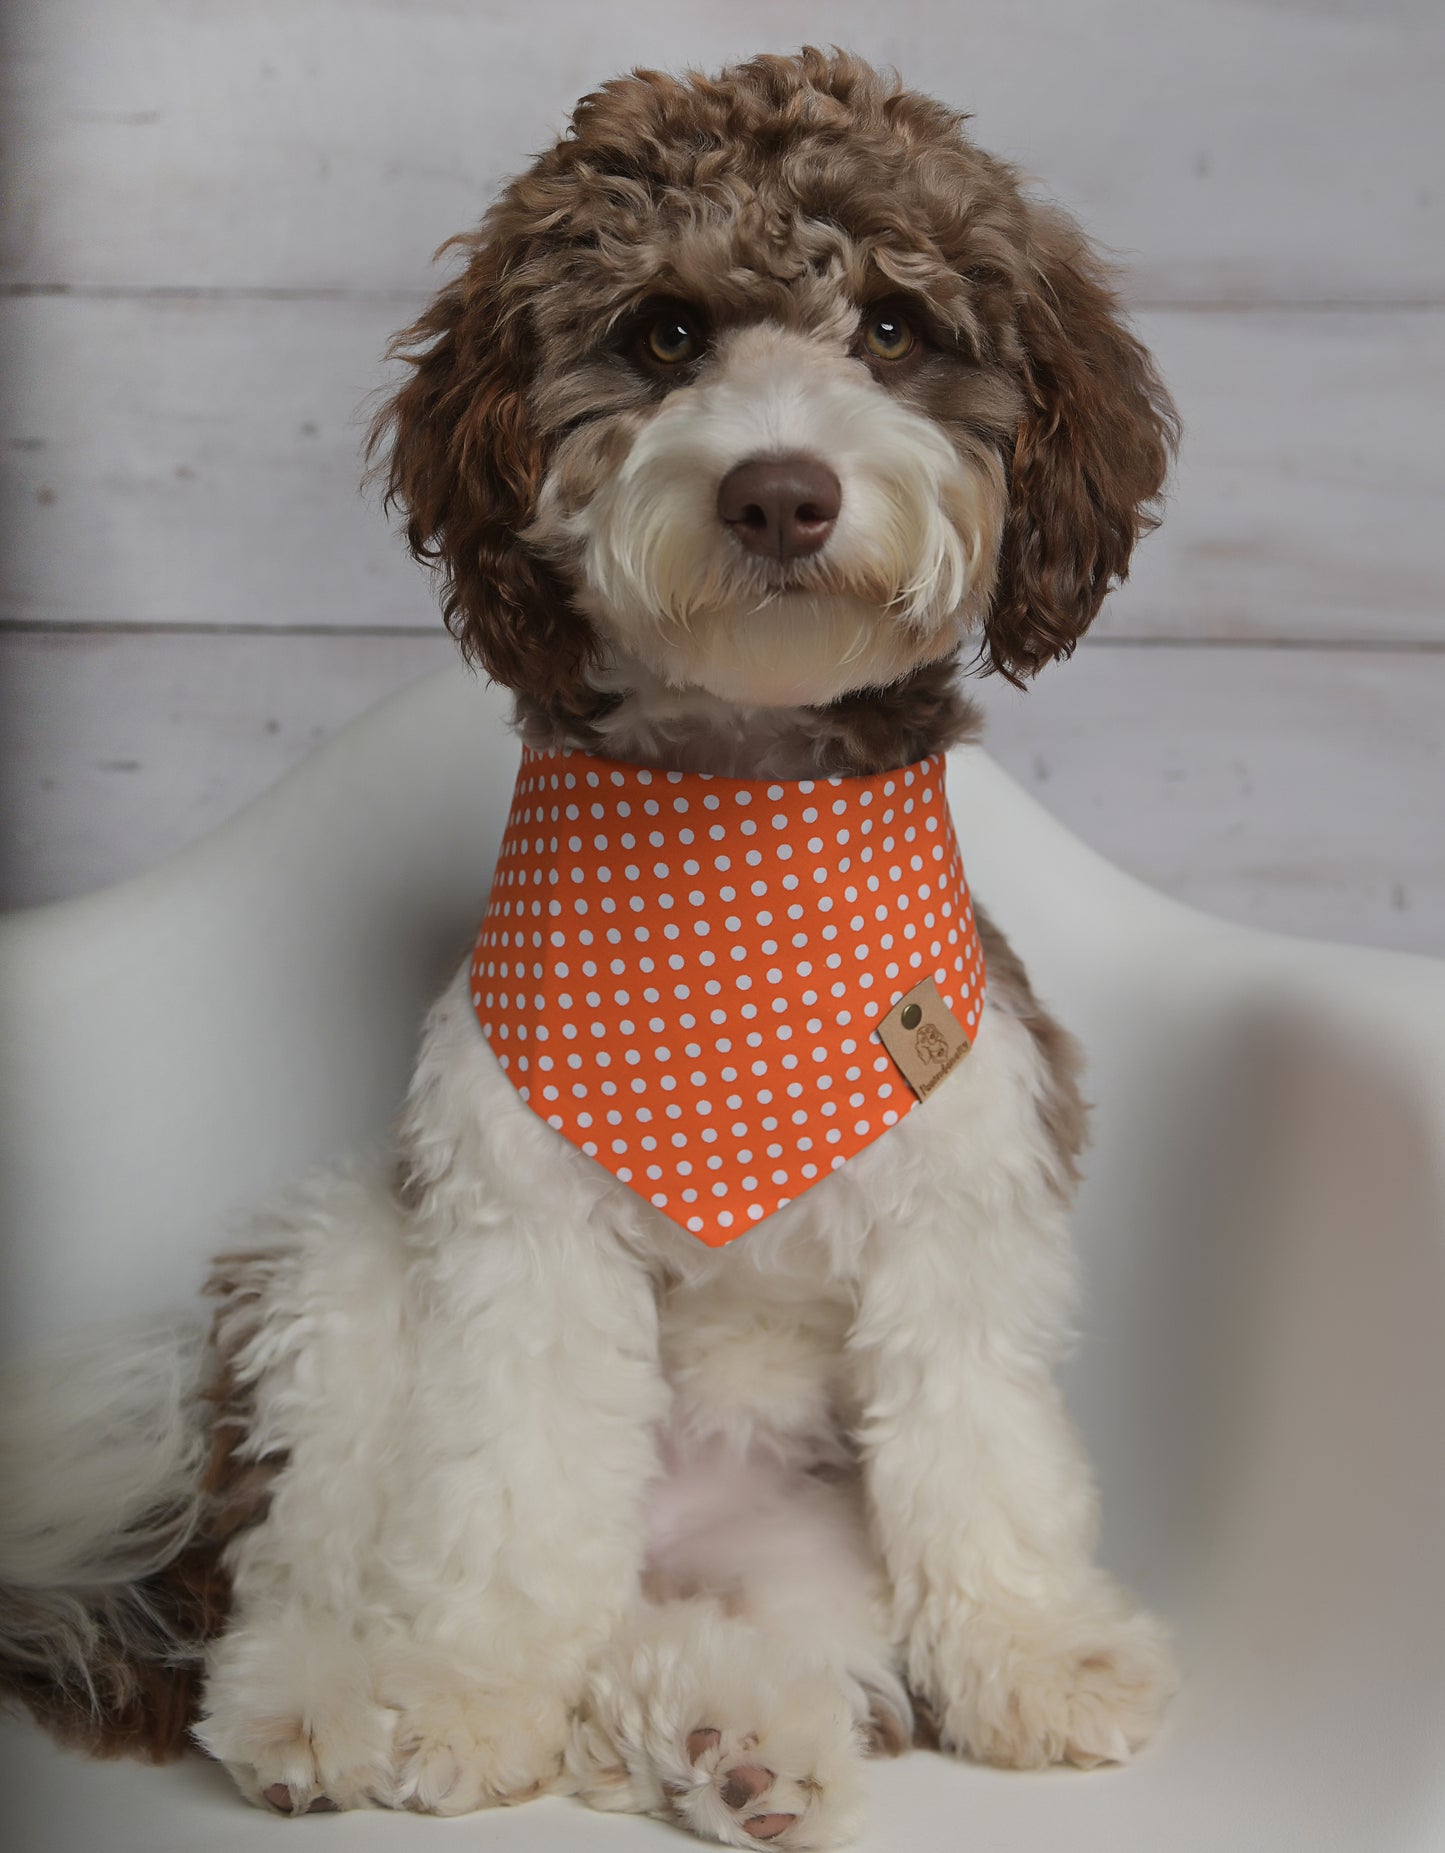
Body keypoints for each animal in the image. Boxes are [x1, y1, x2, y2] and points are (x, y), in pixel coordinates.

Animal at [0, 50, 1178, 1845]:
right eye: (666, 332)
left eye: (893, 327)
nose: (778, 488)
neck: (733, 822)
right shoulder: (517, 1218)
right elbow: (510, 1490)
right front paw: (465, 1696)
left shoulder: (968, 1193)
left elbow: (983, 1450)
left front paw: (1038, 1658)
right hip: (330, 1266)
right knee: (301, 1565)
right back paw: (328, 1704)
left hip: (794, 1547)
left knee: (698, 1648)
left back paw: (729, 1730)